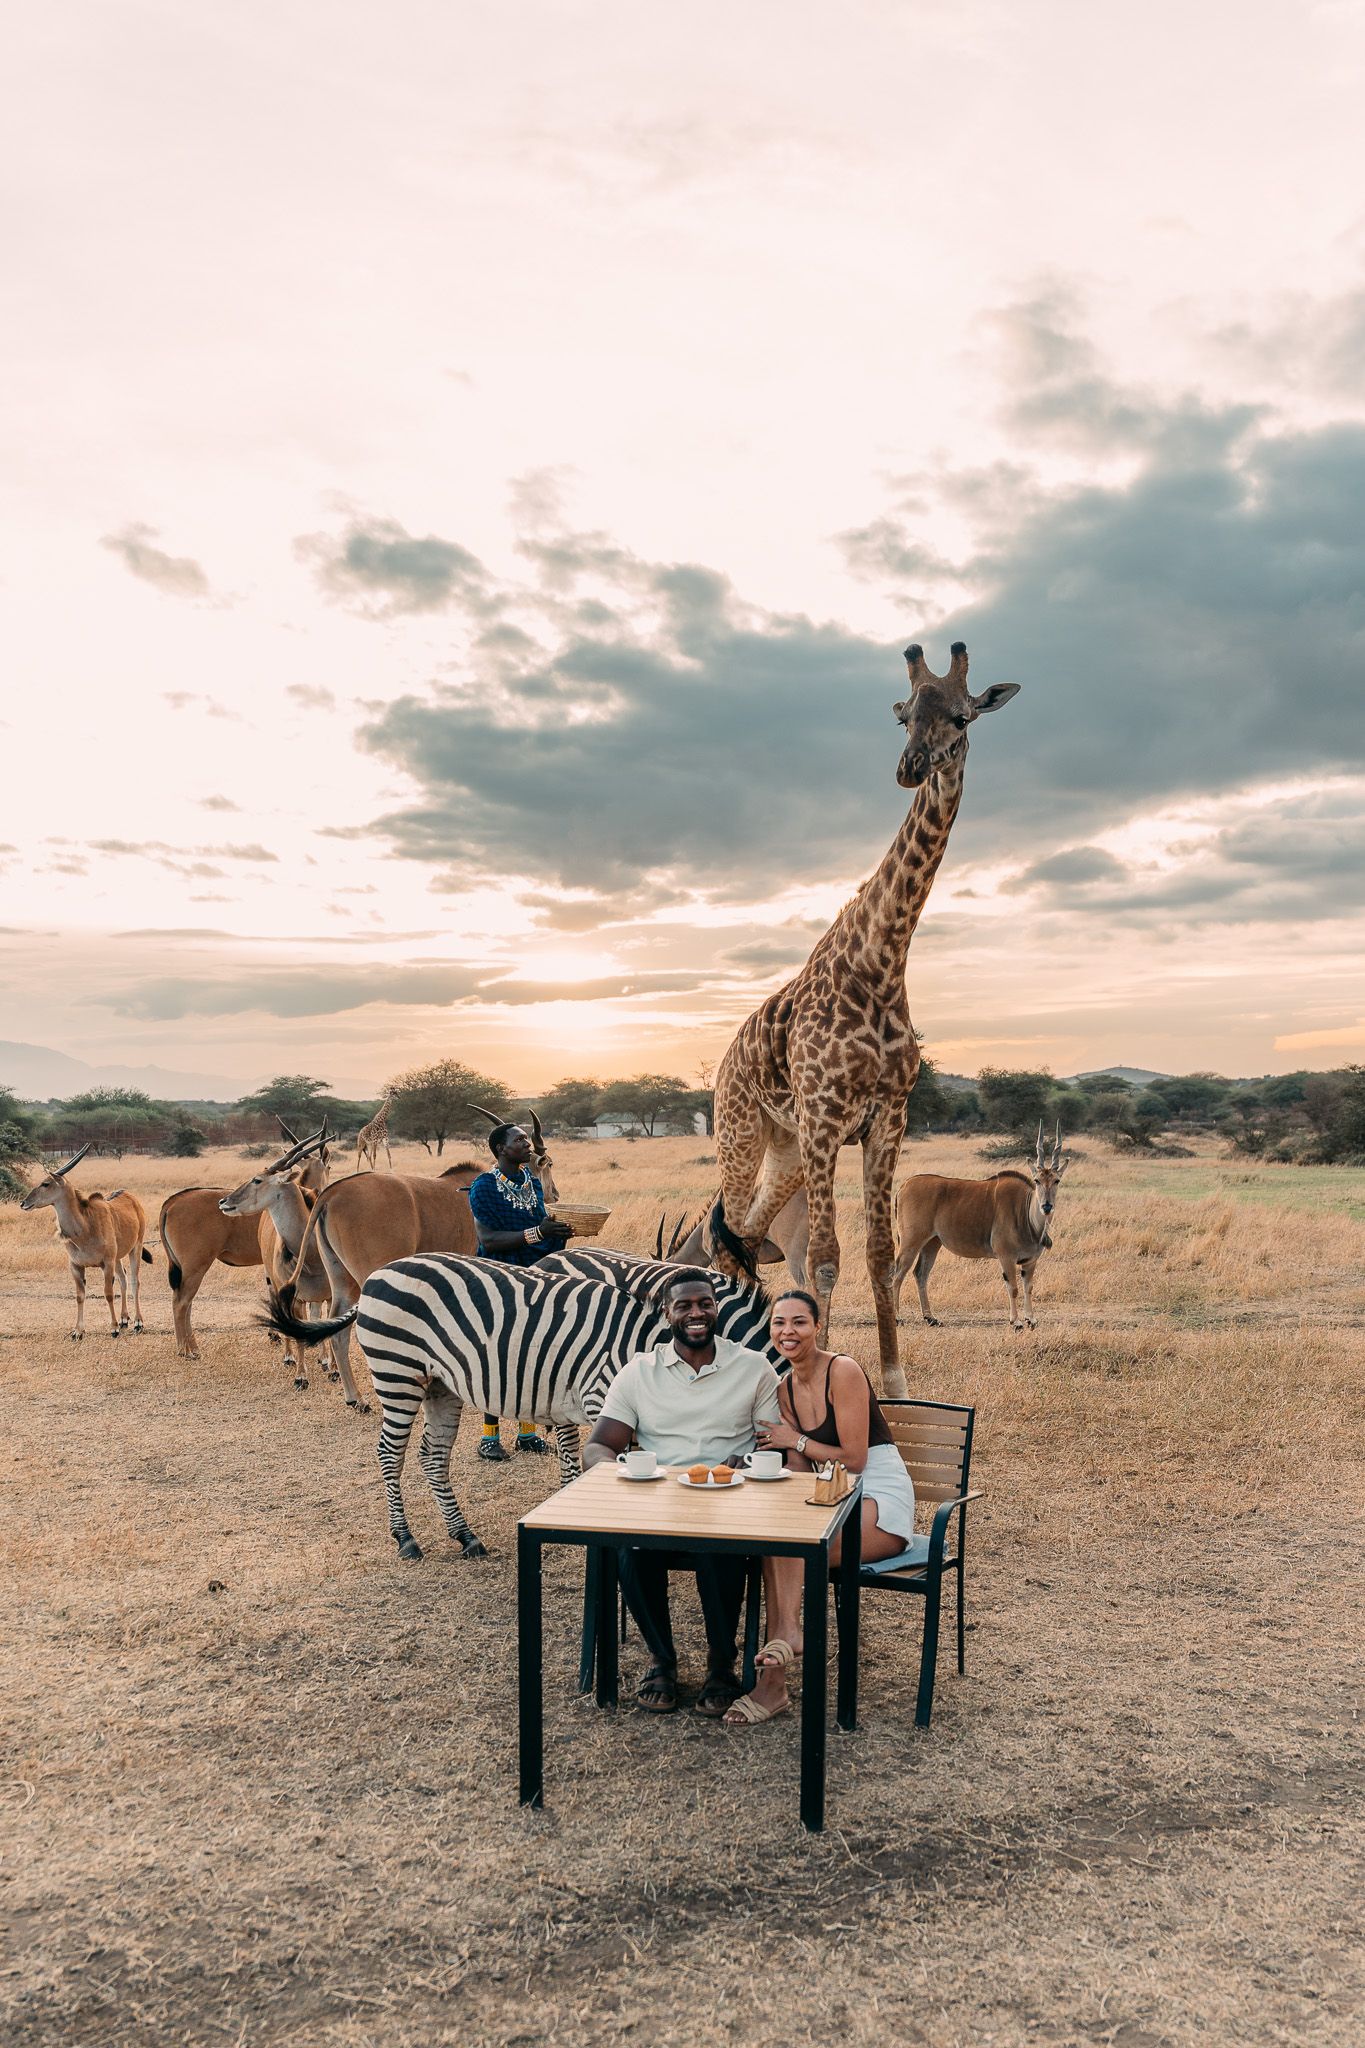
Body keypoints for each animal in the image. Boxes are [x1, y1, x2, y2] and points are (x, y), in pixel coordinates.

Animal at [263, 1253, 774, 1562]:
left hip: (440, 1384)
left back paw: (465, 1536)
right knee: (390, 1453)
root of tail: (379, 1273)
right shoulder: (604, 1397)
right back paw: (406, 1539)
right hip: (398, 1372)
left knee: (433, 1456)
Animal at [709, 640, 1020, 1395]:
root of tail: (726, 1058)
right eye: (904, 714)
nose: (911, 768)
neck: (881, 962)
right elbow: (825, 1256)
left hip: (786, 1148)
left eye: (963, 715)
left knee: (746, 1234)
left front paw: (895, 1384)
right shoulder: (826, 1114)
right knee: (727, 1234)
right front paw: (810, 1371)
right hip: (742, 1131)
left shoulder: (888, 1115)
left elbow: (881, 1253)